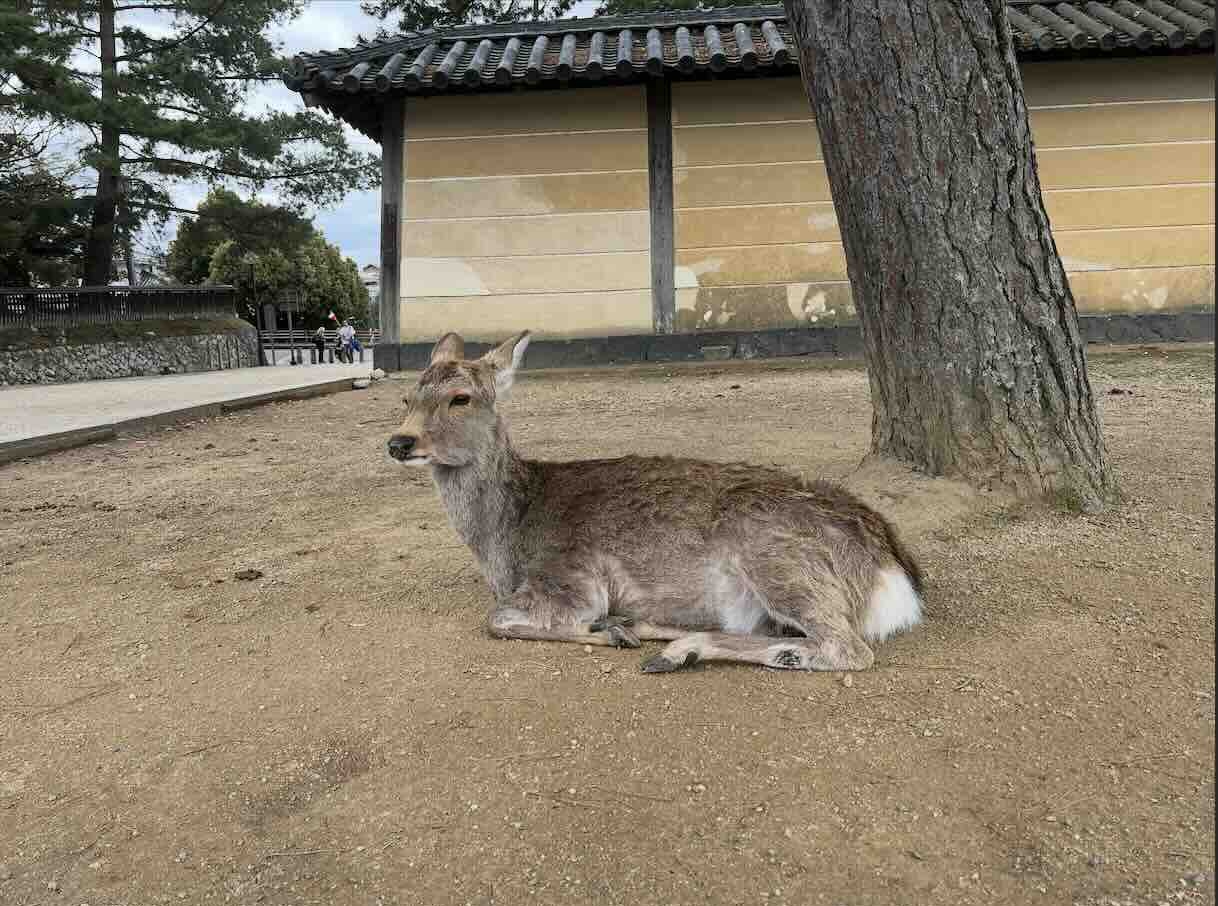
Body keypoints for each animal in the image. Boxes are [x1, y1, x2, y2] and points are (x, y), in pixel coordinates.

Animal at [387, 331, 924, 673]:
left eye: (461, 397)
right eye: (407, 398)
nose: (399, 442)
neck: (505, 543)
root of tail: (894, 570)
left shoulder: (570, 579)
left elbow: (496, 620)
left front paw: (606, 631)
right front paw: (617, 627)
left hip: (778, 557)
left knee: (847, 648)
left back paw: (674, 648)